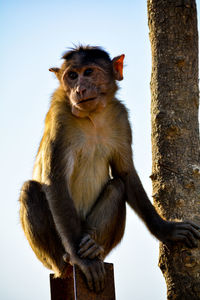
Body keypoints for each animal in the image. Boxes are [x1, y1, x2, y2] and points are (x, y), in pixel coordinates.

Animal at [19, 45, 200, 292]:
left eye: (88, 72)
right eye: (72, 75)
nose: (79, 89)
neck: (92, 116)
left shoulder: (121, 117)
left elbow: (125, 173)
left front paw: (166, 230)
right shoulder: (60, 117)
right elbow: (55, 180)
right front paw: (81, 259)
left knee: (117, 187)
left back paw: (92, 247)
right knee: (30, 189)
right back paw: (69, 259)